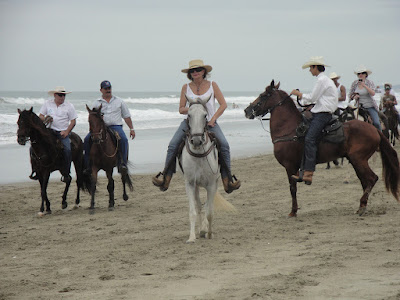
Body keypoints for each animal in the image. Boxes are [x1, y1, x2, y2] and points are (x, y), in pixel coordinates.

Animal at [183, 95, 220, 243]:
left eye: (205, 115)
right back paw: (200, 231)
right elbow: (193, 211)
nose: (197, 141)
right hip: (197, 186)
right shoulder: (190, 183)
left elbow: (209, 212)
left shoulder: (211, 185)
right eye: (189, 114)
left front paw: (209, 233)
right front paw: (192, 237)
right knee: (199, 206)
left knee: (208, 206)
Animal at [244, 79, 400, 216]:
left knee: (372, 179)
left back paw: (362, 207)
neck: (289, 129)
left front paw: (293, 212)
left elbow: (292, 189)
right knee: (365, 181)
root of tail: (375, 130)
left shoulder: (290, 166)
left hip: (359, 159)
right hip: (356, 161)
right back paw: (361, 206)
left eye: (263, 95)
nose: (247, 110)